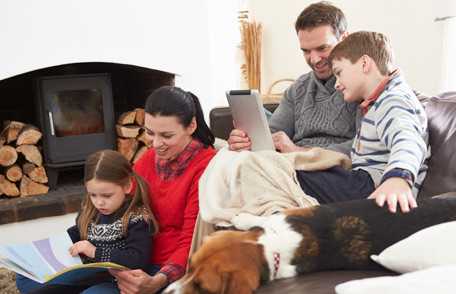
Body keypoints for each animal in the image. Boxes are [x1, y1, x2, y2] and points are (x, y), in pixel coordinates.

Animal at [166, 198, 456, 294]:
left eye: (202, 288)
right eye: (188, 267)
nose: (166, 292)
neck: (273, 243)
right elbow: (262, 219)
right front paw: (243, 218)